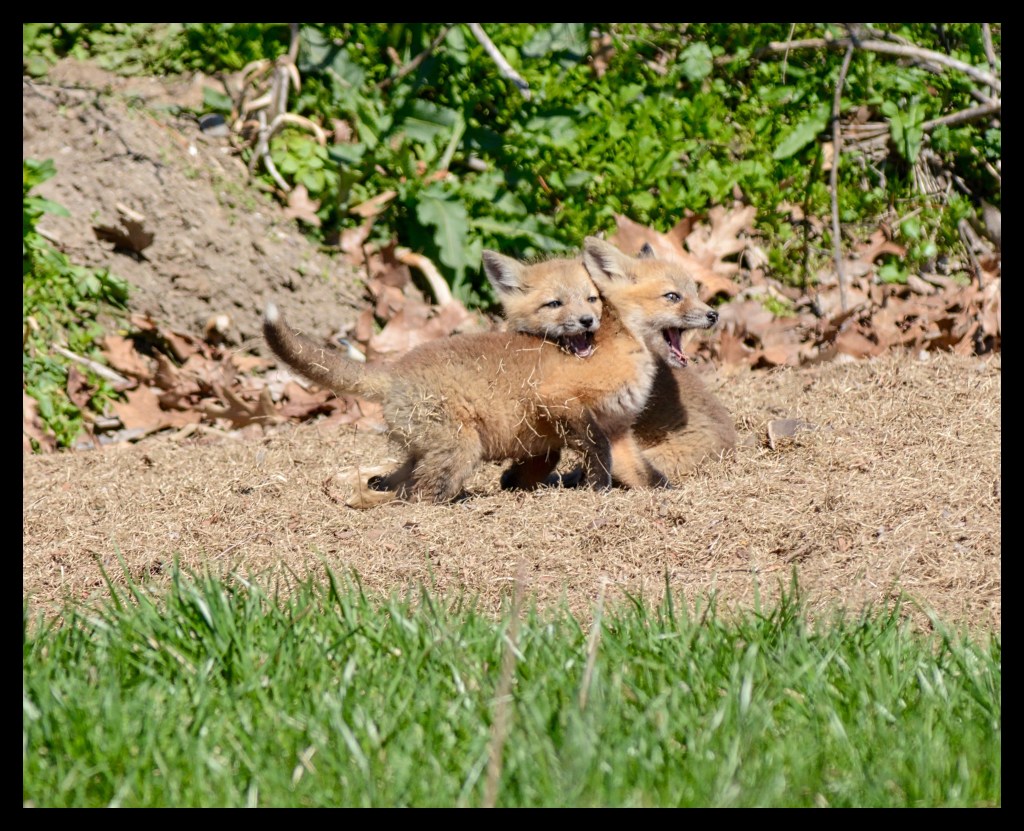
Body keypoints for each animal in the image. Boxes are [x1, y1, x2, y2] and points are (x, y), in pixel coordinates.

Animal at [262, 236, 678, 504]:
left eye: (593, 298)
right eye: (554, 304)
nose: (588, 321)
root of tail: (395, 370)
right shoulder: (563, 405)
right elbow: (593, 453)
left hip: (426, 446)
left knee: (399, 480)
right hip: (460, 449)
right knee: (419, 495)